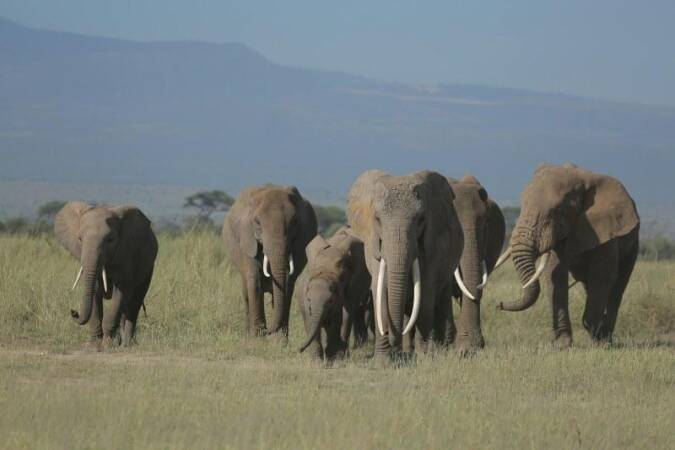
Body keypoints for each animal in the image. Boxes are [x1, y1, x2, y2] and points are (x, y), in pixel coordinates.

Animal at [54, 202, 158, 347]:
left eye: (110, 240)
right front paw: (95, 344)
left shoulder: (125, 255)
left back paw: (128, 344)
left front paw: (108, 344)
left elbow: (120, 293)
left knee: (134, 304)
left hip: (148, 267)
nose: (73, 312)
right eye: (80, 239)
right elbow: (94, 293)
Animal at [222, 184, 317, 337]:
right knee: (247, 293)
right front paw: (257, 337)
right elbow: (254, 281)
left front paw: (279, 340)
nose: (266, 330)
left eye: (294, 222)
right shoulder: (247, 239)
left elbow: (287, 286)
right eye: (257, 223)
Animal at [297, 226, 372, 360]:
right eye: (309, 300)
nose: (298, 349)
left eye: (342, 278)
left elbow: (343, 316)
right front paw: (318, 361)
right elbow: (310, 320)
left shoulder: (353, 286)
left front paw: (336, 356)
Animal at [347, 170, 464, 361]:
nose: (393, 338)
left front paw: (424, 357)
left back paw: (438, 348)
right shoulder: (373, 244)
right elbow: (380, 290)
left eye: (421, 219)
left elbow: (425, 294)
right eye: (377, 219)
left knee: (440, 299)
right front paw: (384, 360)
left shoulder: (432, 246)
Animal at [495, 163, 639, 348]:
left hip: (633, 243)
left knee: (617, 287)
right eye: (522, 205)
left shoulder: (607, 230)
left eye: (555, 212)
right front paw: (562, 346)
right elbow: (555, 275)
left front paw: (597, 341)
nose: (498, 304)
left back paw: (605, 339)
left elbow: (602, 276)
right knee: (590, 286)